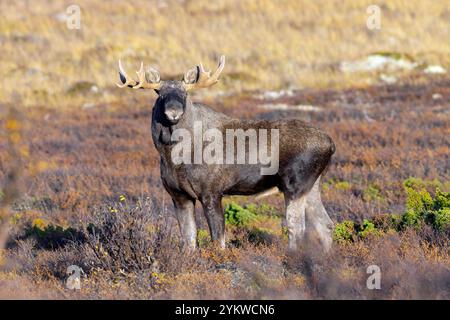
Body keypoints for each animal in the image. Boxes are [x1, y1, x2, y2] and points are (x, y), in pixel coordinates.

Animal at [118, 55, 336, 251]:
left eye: (185, 94)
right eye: (159, 93)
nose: (173, 112)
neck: (172, 155)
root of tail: (331, 144)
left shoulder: (211, 192)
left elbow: (218, 239)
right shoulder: (179, 195)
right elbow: (189, 239)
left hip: (295, 184)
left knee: (296, 227)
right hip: (312, 185)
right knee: (325, 224)